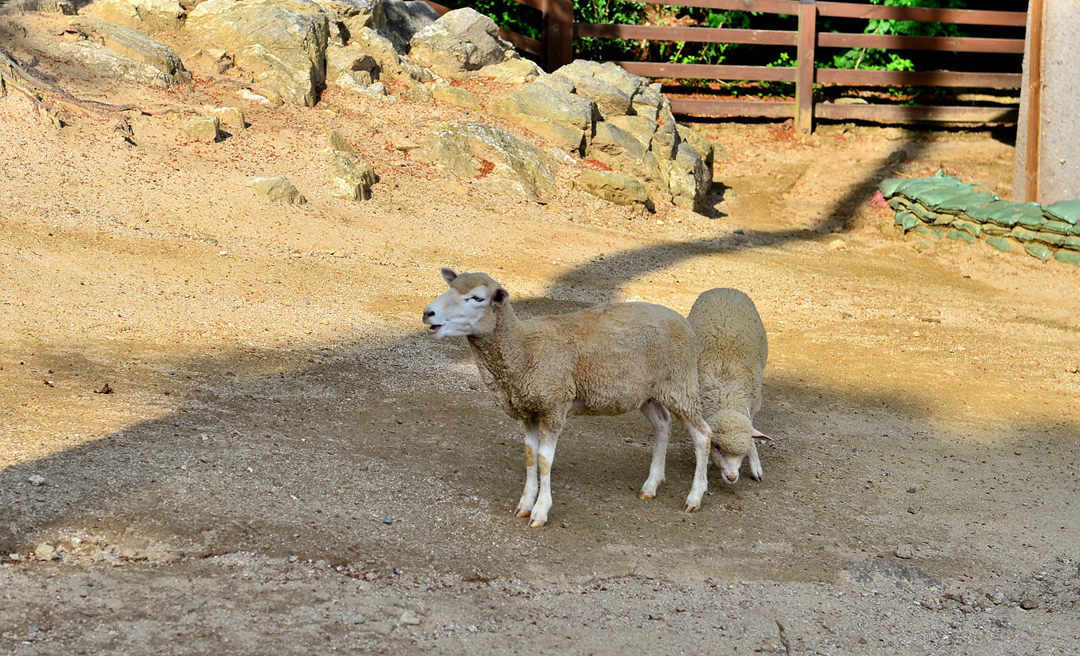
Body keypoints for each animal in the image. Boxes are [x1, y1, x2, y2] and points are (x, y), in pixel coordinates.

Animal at [422, 268, 713, 527]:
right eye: (450, 287)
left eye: (477, 298)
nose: (428, 313)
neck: (523, 349)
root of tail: (682, 320)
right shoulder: (529, 409)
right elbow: (530, 455)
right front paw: (525, 504)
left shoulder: (553, 405)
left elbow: (544, 460)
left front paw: (540, 511)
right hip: (647, 392)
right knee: (662, 425)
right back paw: (651, 485)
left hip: (681, 384)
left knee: (703, 435)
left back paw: (694, 497)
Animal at [686, 287, 772, 485]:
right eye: (717, 447)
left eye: (743, 450)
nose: (732, 477)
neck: (726, 391)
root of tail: (724, 289)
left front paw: (756, 465)